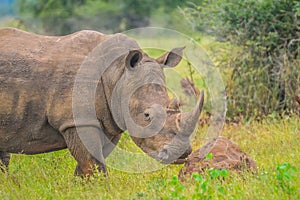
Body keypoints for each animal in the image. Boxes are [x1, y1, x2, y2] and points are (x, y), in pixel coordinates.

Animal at [0, 27, 204, 175]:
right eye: (147, 115)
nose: (182, 152)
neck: (118, 73)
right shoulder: (77, 121)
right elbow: (93, 163)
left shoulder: (110, 121)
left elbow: (91, 163)